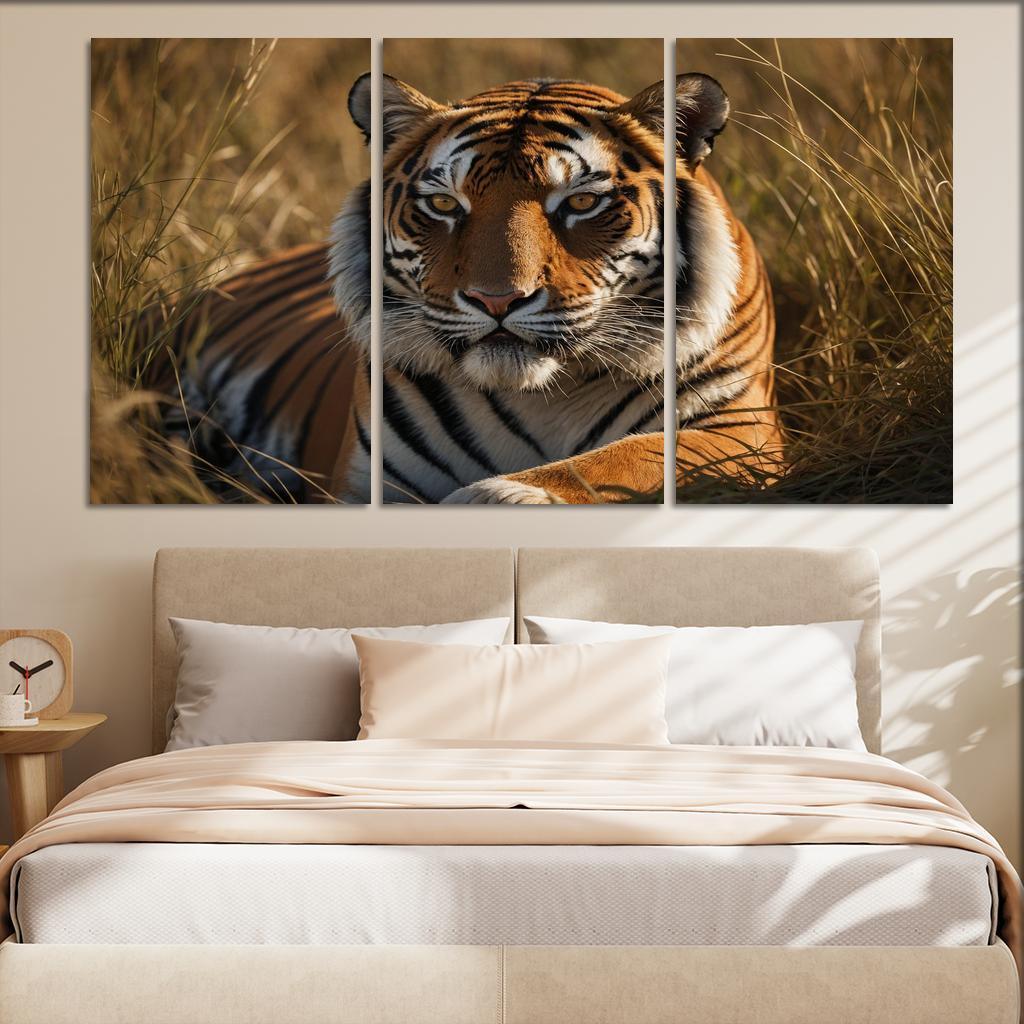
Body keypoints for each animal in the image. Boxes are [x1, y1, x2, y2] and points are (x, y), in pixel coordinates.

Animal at [148, 72, 781, 504]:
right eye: (446, 205)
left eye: (581, 202)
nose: (496, 300)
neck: (543, 397)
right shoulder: (366, 480)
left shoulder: (739, 427)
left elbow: (630, 457)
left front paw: (499, 494)